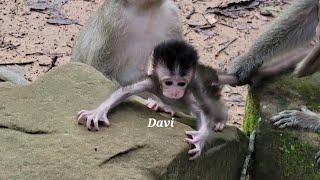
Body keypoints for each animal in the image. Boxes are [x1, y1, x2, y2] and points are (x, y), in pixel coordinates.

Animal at [77, 40, 228, 160]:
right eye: (168, 83)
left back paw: (220, 120)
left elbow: (202, 111)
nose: (174, 92)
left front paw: (200, 138)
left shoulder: (188, 92)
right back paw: (160, 105)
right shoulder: (152, 83)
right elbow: (126, 91)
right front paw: (97, 113)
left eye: (181, 84)